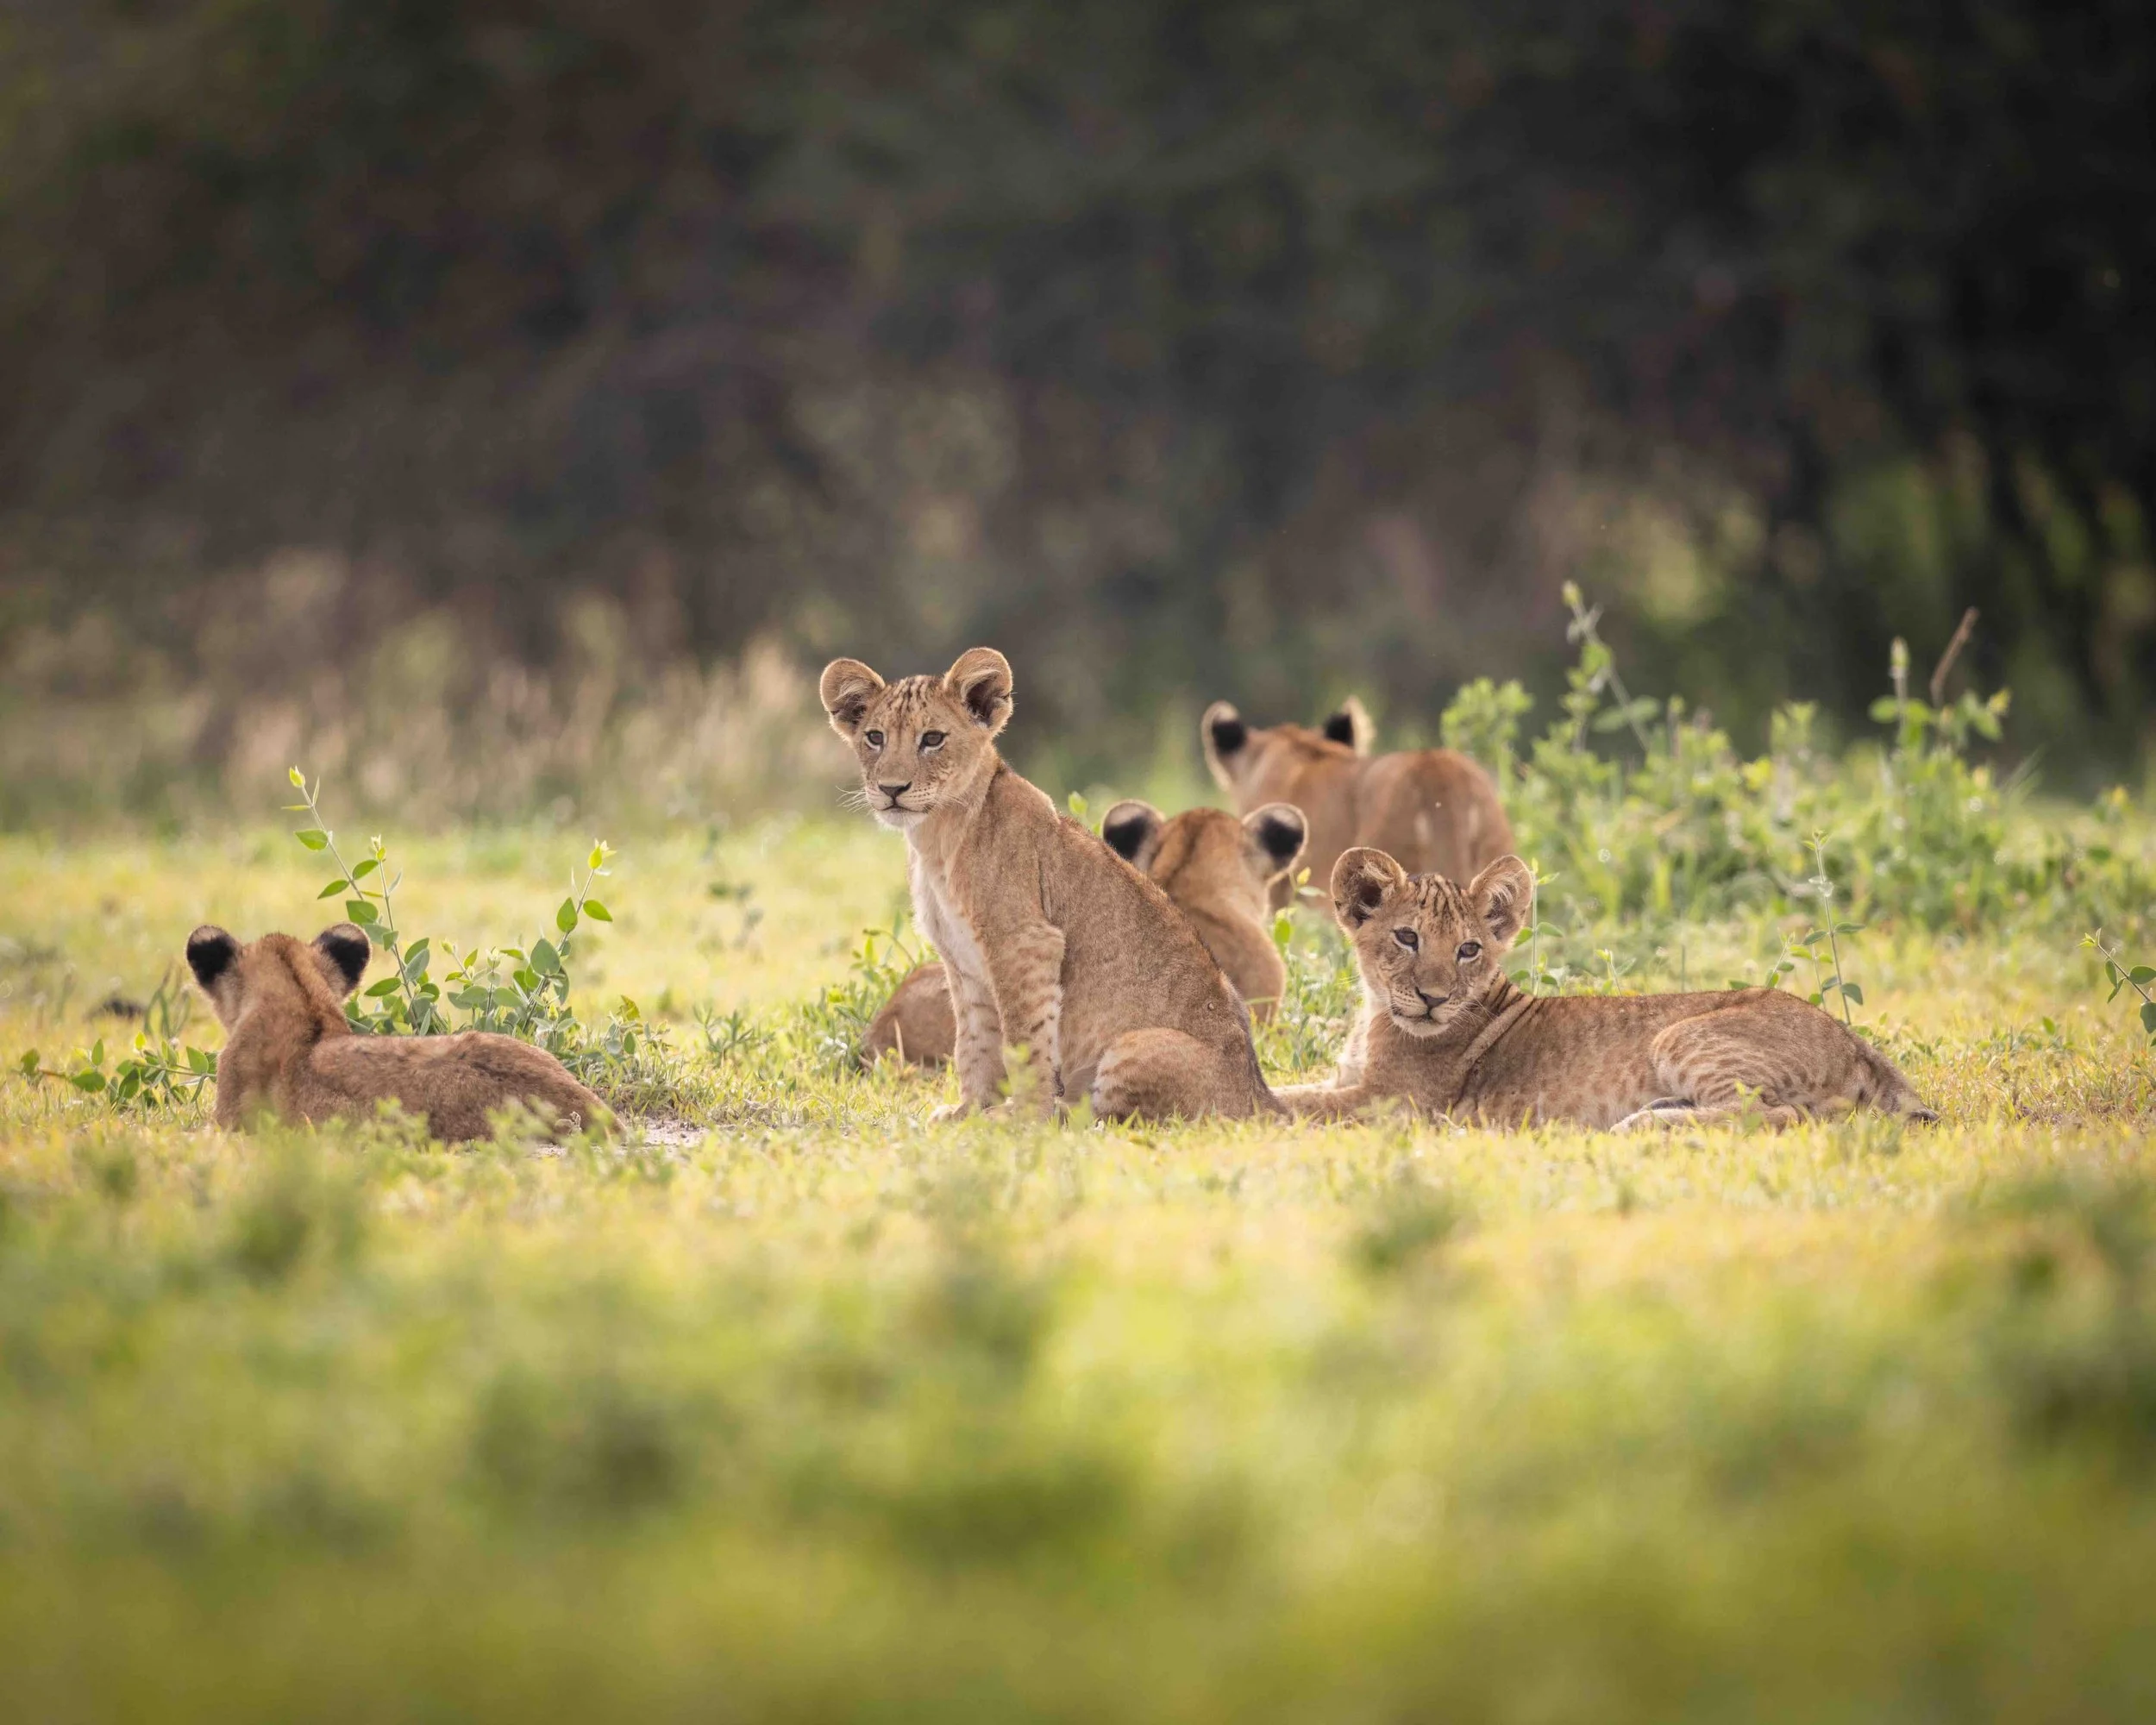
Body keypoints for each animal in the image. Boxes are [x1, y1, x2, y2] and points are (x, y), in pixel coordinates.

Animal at [1277, 848, 1938, 1130]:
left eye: (1468, 950)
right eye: (1407, 937)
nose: (1434, 999)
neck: (1374, 1014)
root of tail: (1856, 1042)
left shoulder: (1394, 1104)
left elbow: (1297, 1106)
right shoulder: (1352, 1084)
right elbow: (1296, 1089)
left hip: (1681, 1035)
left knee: (1776, 1114)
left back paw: (1642, 1125)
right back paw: (1659, 1112)